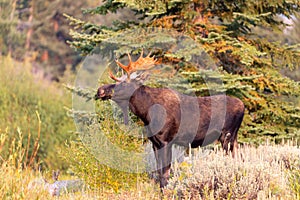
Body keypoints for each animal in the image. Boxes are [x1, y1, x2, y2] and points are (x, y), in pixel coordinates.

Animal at [95, 50, 245, 188]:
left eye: (123, 84)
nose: (99, 90)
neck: (146, 113)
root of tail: (243, 106)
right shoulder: (154, 143)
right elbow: (159, 171)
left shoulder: (166, 140)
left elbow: (165, 174)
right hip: (234, 138)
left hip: (227, 136)